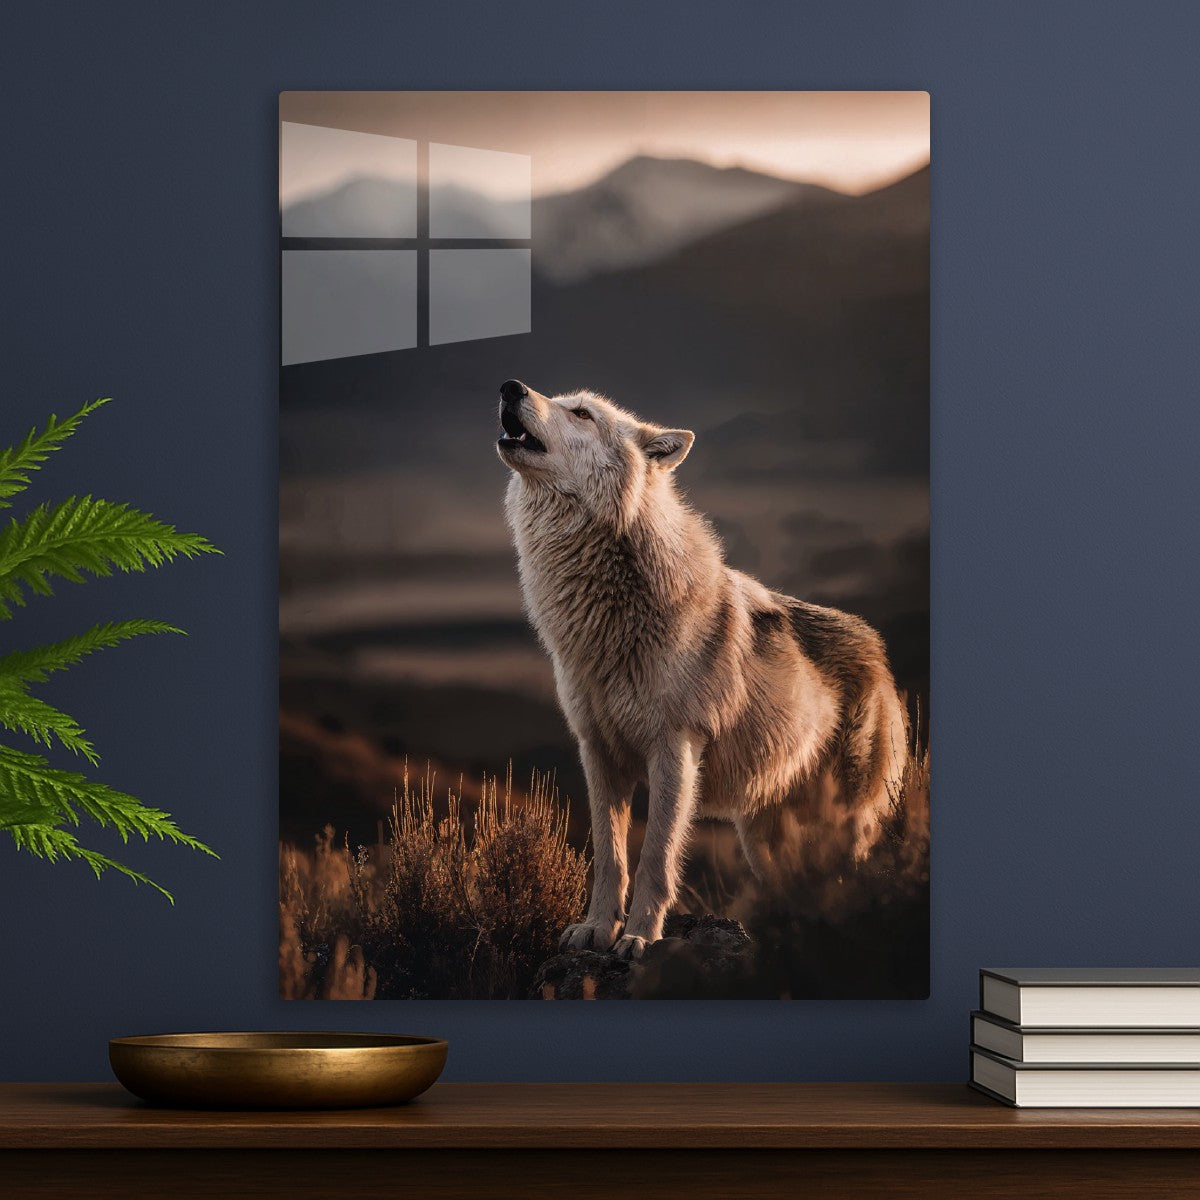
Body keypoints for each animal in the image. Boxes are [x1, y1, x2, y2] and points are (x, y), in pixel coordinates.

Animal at [496, 379, 909, 961]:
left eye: (581, 413)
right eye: (559, 399)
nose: (510, 387)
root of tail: (878, 649)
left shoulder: (675, 749)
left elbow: (656, 857)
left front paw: (639, 938)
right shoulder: (597, 751)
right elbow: (609, 855)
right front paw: (597, 930)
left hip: (848, 825)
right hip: (763, 840)